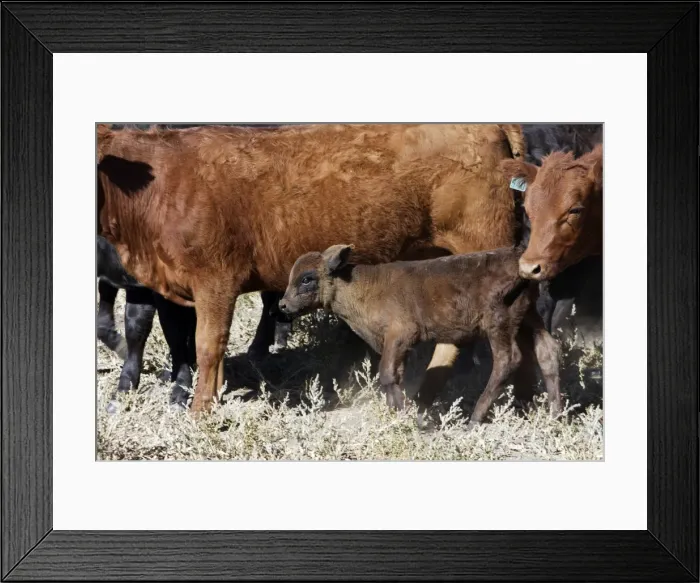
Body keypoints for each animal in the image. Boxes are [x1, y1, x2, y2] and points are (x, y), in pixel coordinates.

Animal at [279, 244, 562, 429]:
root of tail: (520, 265)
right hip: (528, 318)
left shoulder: (402, 334)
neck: (360, 287)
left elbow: (386, 374)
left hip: (499, 323)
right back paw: (555, 415)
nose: (283, 305)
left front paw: (404, 414)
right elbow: (396, 375)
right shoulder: (396, 344)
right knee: (547, 351)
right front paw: (399, 411)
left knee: (508, 360)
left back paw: (474, 419)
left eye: (307, 279)